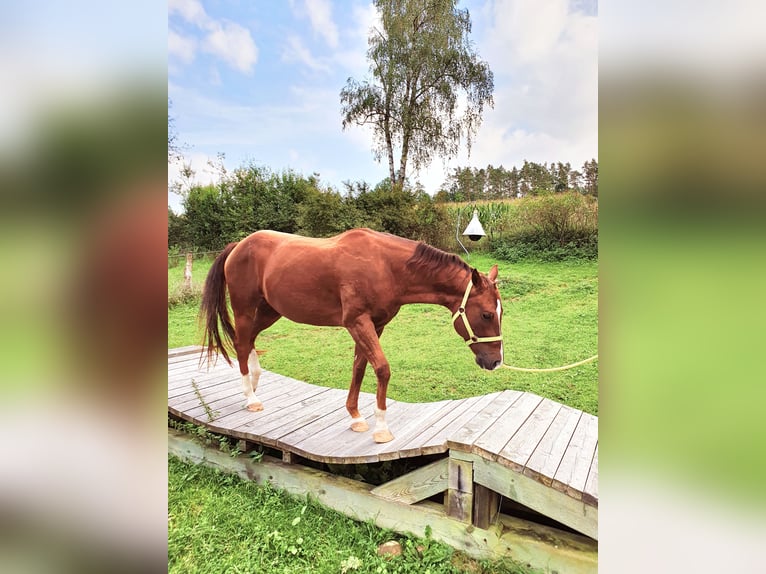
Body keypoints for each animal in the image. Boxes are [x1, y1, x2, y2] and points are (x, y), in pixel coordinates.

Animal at [198, 230, 504, 446]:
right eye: (487, 314)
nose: (496, 362)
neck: (386, 266)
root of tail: (238, 246)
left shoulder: (374, 326)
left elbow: (360, 367)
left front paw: (356, 417)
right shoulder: (357, 322)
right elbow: (381, 368)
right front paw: (381, 429)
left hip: (270, 310)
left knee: (248, 341)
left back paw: (254, 383)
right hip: (245, 309)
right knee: (241, 343)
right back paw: (251, 398)